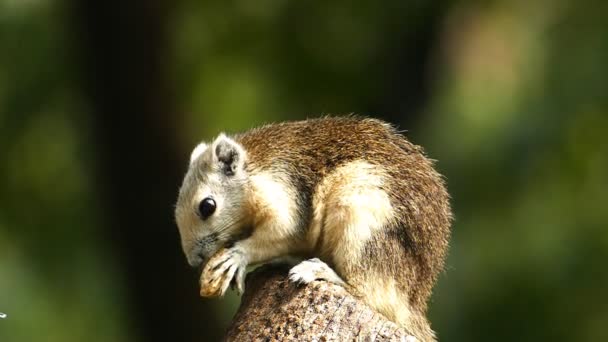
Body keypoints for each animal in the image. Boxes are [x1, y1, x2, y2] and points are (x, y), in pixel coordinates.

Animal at [173, 116, 448, 340]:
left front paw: (235, 257)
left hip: (360, 222)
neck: (252, 170)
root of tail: (413, 304)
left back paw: (318, 271)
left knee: (368, 294)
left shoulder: (285, 203)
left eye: (207, 206)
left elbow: (277, 235)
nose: (194, 261)